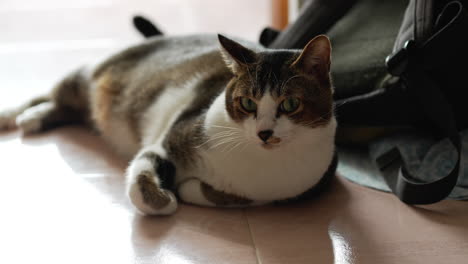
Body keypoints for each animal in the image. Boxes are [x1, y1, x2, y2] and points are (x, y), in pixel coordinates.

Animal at [0, 33, 336, 214]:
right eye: (248, 103)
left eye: (290, 104)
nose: (264, 133)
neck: (259, 161)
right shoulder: (170, 140)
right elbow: (143, 186)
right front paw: (168, 198)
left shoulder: (303, 186)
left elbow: (233, 196)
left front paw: (187, 188)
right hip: (90, 77)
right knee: (53, 93)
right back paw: (20, 116)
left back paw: (35, 118)